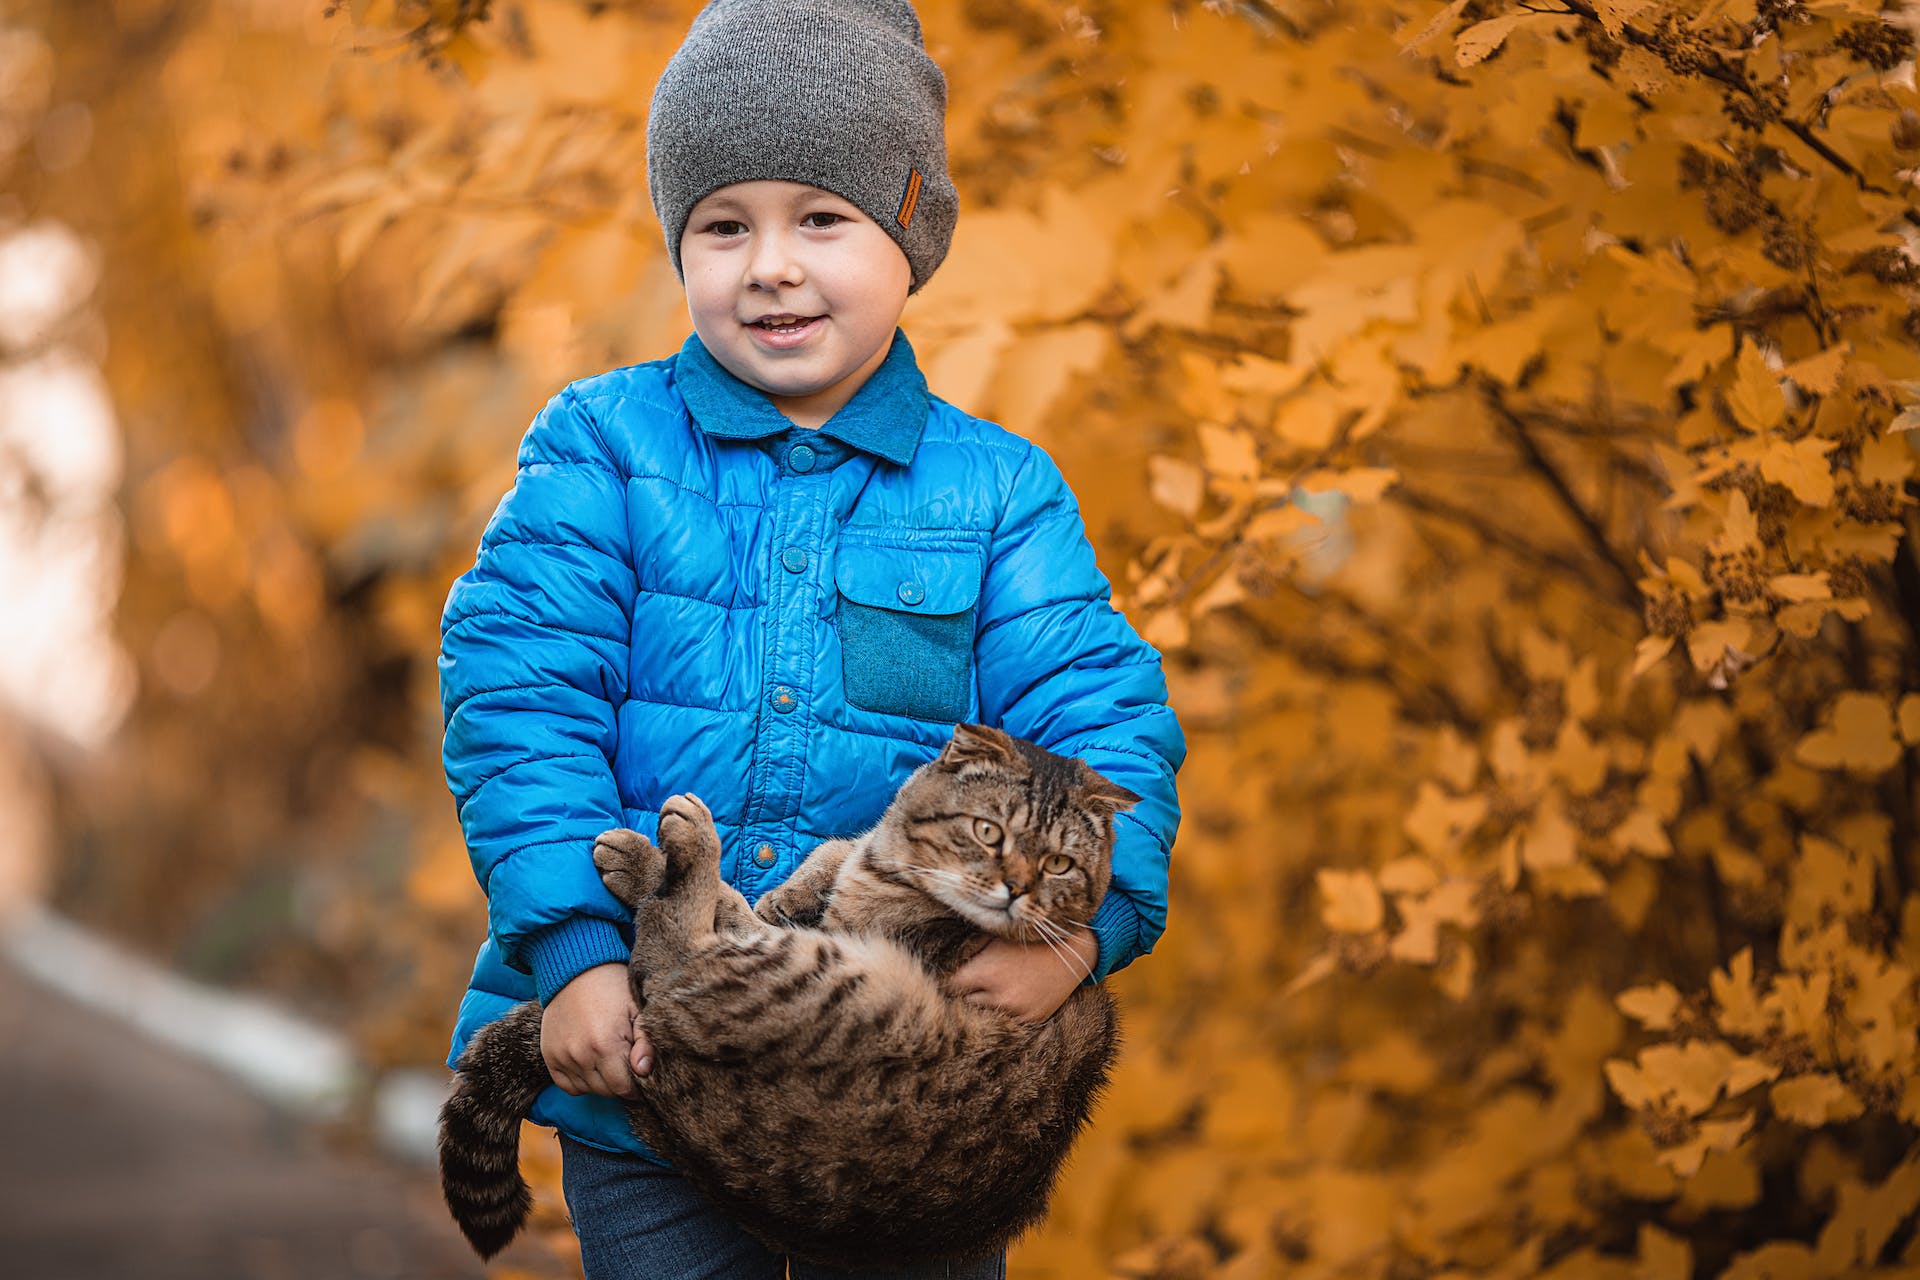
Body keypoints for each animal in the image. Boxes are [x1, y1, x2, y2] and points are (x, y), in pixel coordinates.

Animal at [441, 725, 1128, 1266]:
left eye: (1059, 865)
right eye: (989, 832)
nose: (1017, 890)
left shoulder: (838, 936)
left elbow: (733, 911)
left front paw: (651, 865)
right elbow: (825, 857)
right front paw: (794, 889)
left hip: (799, 985)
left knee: (664, 960)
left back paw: (685, 844)